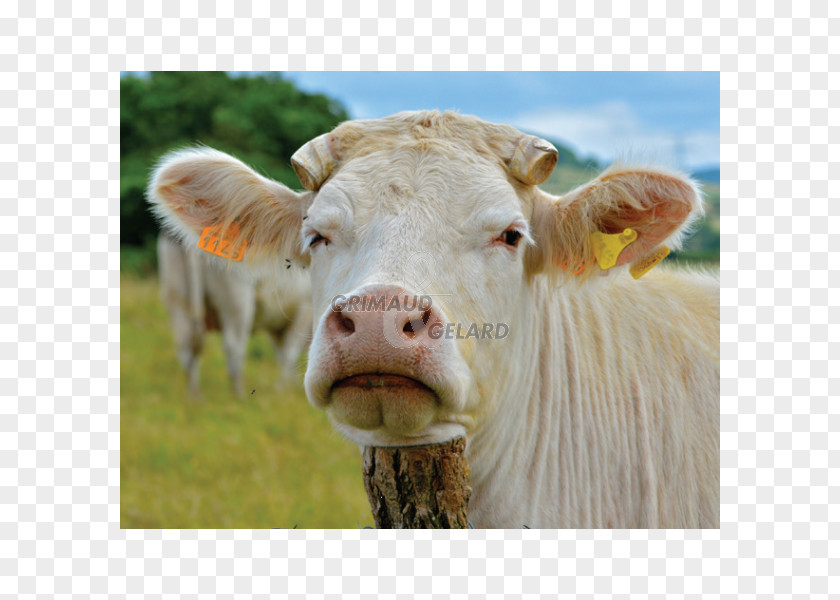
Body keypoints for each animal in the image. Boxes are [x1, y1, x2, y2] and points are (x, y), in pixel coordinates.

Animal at [156, 232, 310, 396]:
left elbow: (281, 353)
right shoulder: (303, 310)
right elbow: (289, 353)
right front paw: (283, 390)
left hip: (177, 298)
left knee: (186, 347)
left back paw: (194, 396)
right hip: (237, 302)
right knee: (233, 347)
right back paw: (239, 395)